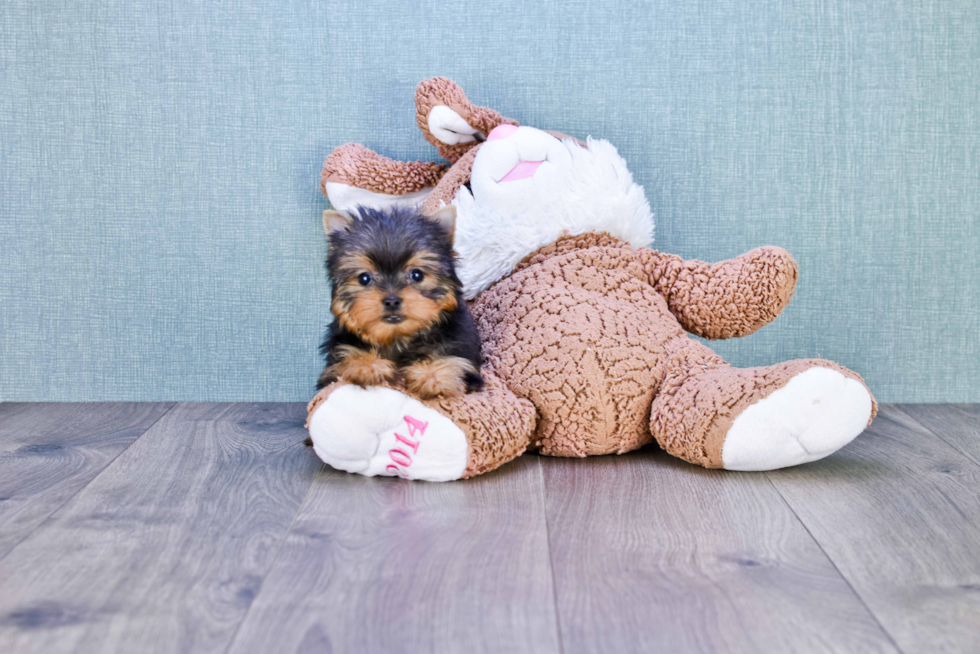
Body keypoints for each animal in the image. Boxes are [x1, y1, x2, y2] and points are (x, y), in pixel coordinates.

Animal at [316, 206, 484, 400]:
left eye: (417, 275)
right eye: (364, 278)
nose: (391, 301)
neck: (398, 337)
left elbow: (453, 362)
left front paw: (433, 375)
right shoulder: (334, 364)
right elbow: (346, 360)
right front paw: (365, 364)